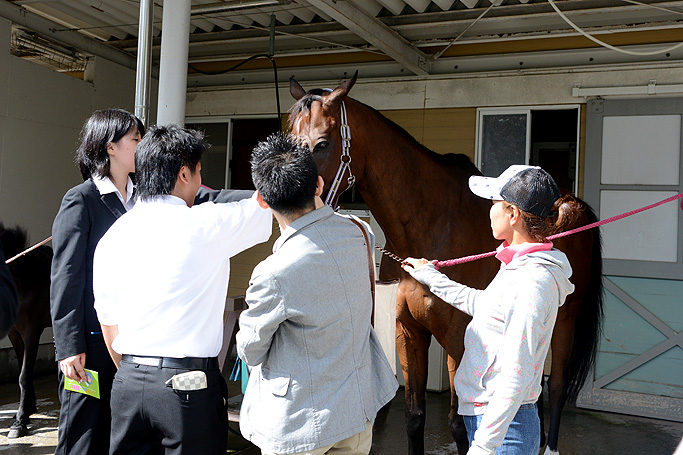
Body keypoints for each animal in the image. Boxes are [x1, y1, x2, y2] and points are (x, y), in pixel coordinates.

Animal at [288, 73, 604, 454]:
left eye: (321, 144)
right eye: (286, 141)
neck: (429, 225)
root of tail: (572, 203)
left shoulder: (459, 337)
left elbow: (459, 424)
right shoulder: (408, 332)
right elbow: (414, 417)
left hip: (565, 320)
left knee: (555, 385)